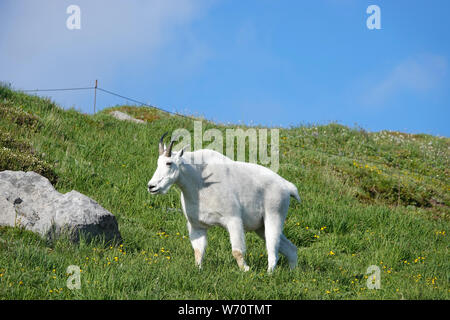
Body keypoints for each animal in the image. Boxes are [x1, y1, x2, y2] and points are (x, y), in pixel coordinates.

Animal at [148, 132, 300, 272]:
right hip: (260, 227)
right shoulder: (197, 226)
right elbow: (198, 252)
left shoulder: (233, 219)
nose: (152, 186)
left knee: (273, 251)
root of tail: (287, 186)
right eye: (157, 163)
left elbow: (237, 251)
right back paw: (292, 271)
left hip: (274, 215)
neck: (199, 182)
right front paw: (198, 270)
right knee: (291, 249)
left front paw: (246, 270)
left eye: (169, 163)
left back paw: (269, 273)